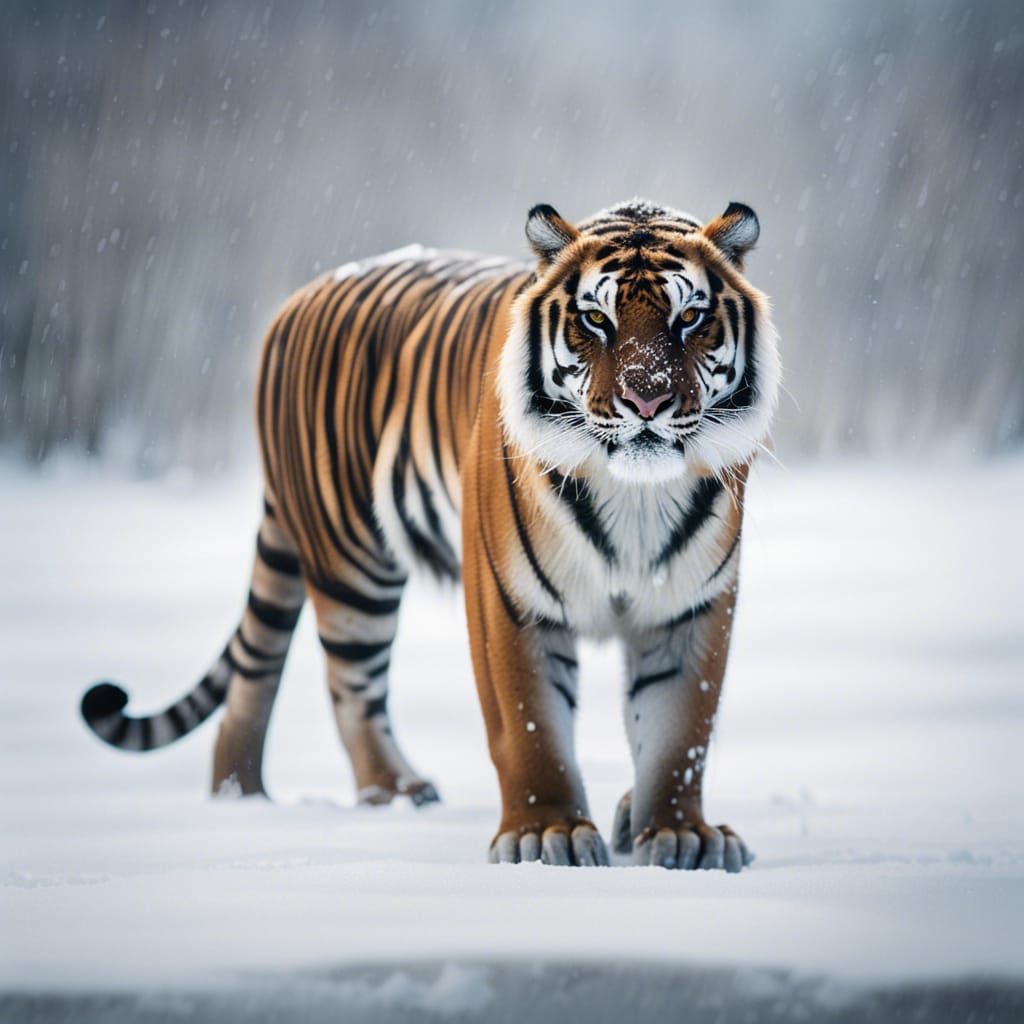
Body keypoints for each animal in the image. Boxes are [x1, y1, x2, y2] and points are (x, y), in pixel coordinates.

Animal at [81, 198, 780, 871]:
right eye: (596, 320)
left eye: (689, 317)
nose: (646, 402)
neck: (636, 495)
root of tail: (297, 299)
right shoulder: (509, 599)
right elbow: (530, 725)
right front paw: (545, 834)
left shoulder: (692, 605)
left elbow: (678, 733)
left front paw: (680, 834)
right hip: (351, 563)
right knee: (349, 688)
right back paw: (391, 796)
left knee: (255, 682)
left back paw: (243, 805)